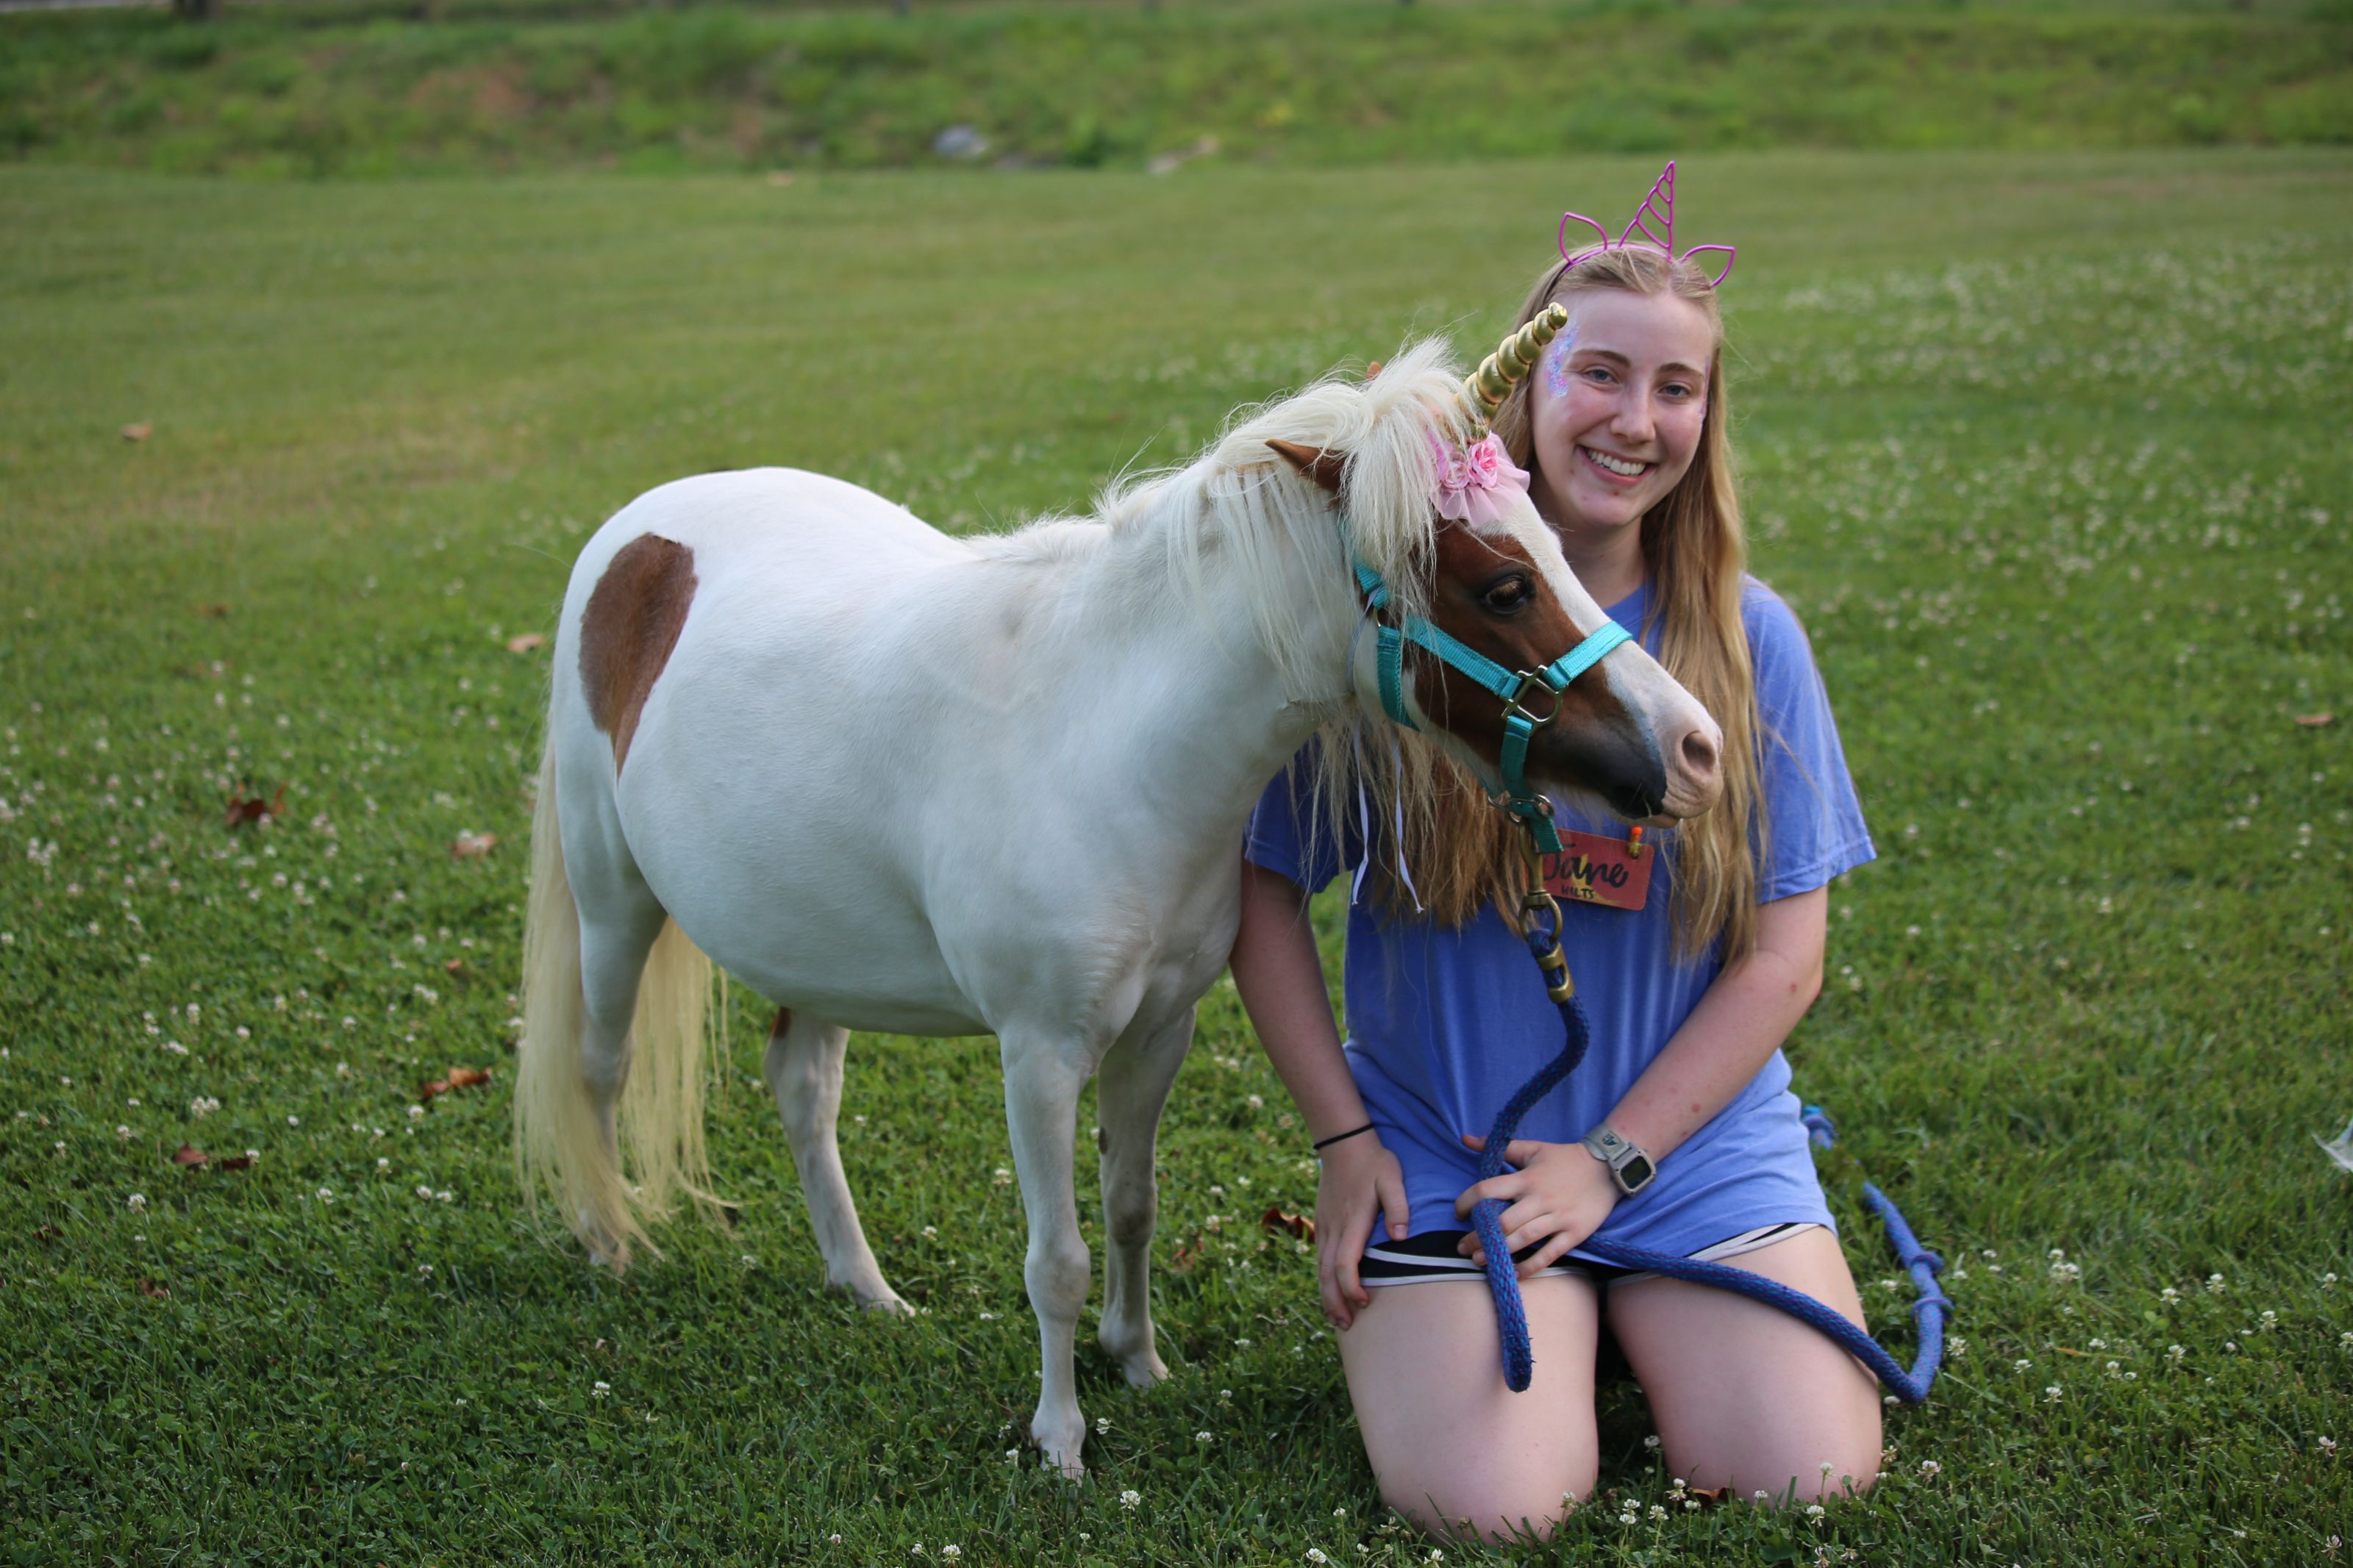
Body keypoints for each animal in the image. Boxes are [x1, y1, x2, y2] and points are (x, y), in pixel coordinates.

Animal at [511, 329, 1723, 1477]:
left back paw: (863, 1287)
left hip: (811, 946)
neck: (1100, 740)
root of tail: (638, 533)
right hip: (613, 902)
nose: (1693, 747)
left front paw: (1137, 1361)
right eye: (1503, 587)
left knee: (803, 1090)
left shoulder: (1160, 1030)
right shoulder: (1040, 1054)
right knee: (600, 1064)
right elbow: (1056, 1258)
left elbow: (1132, 1208)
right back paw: (612, 1243)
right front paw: (1059, 1436)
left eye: (1556, 546)